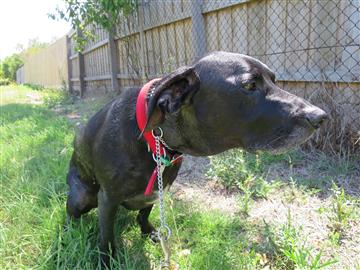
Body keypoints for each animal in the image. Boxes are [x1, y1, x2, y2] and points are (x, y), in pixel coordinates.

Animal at [66, 51, 328, 264]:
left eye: (274, 80)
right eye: (250, 85)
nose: (321, 117)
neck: (156, 139)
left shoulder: (158, 192)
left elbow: (144, 215)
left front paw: (151, 232)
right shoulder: (108, 198)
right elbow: (106, 239)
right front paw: (106, 261)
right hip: (82, 197)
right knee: (73, 214)